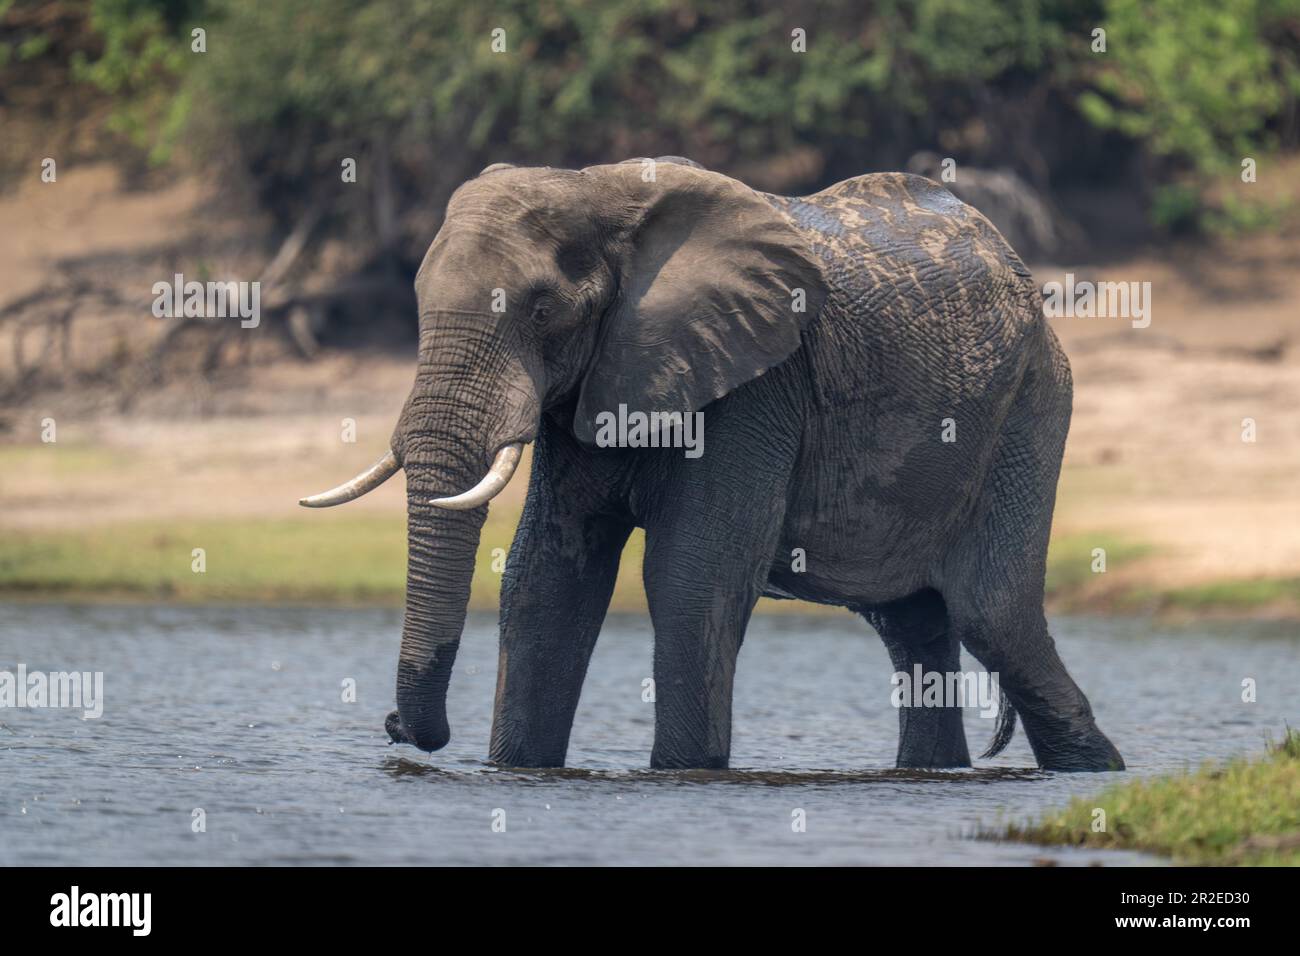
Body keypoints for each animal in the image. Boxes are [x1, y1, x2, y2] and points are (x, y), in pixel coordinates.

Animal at [301, 156, 1124, 773]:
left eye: (539, 309)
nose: (398, 728)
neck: (598, 190)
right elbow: (547, 577)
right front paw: (517, 771)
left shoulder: (757, 381)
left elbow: (692, 576)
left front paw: (685, 774)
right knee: (911, 622)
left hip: (1030, 405)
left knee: (993, 613)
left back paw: (1099, 772)